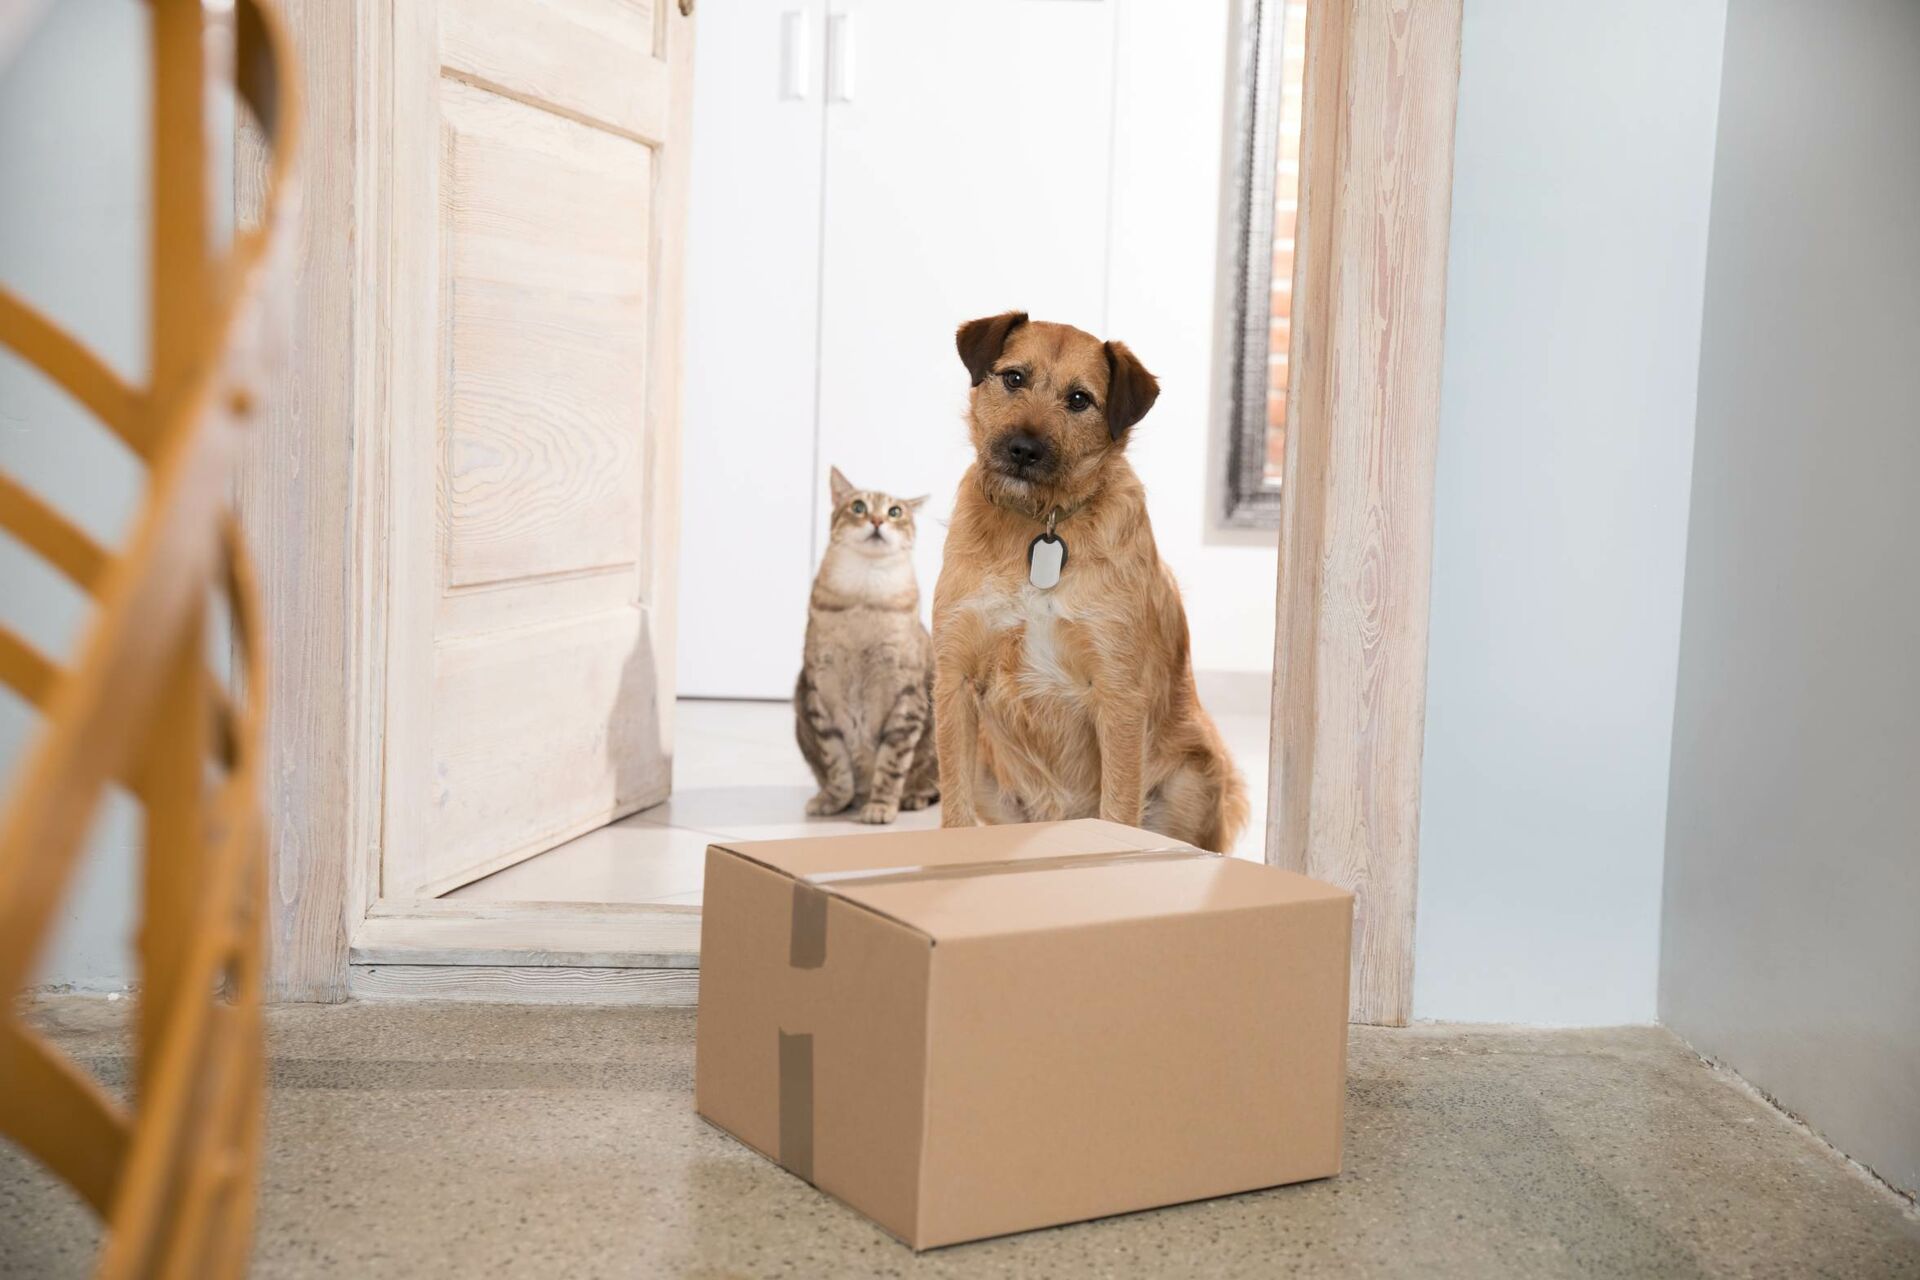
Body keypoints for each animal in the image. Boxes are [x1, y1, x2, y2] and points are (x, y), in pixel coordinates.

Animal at [794, 468, 936, 821]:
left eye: (895, 512)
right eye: (858, 507)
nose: (876, 520)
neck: (864, 597)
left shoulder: (906, 699)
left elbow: (892, 765)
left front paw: (881, 807)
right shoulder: (821, 693)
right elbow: (837, 763)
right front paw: (833, 800)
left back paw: (912, 798)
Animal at [929, 310, 1244, 852]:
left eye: (1079, 399)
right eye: (1014, 378)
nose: (1023, 450)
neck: (1041, 525)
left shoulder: (1117, 693)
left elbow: (1117, 807)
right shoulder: (955, 677)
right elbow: (955, 806)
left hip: (1194, 776)